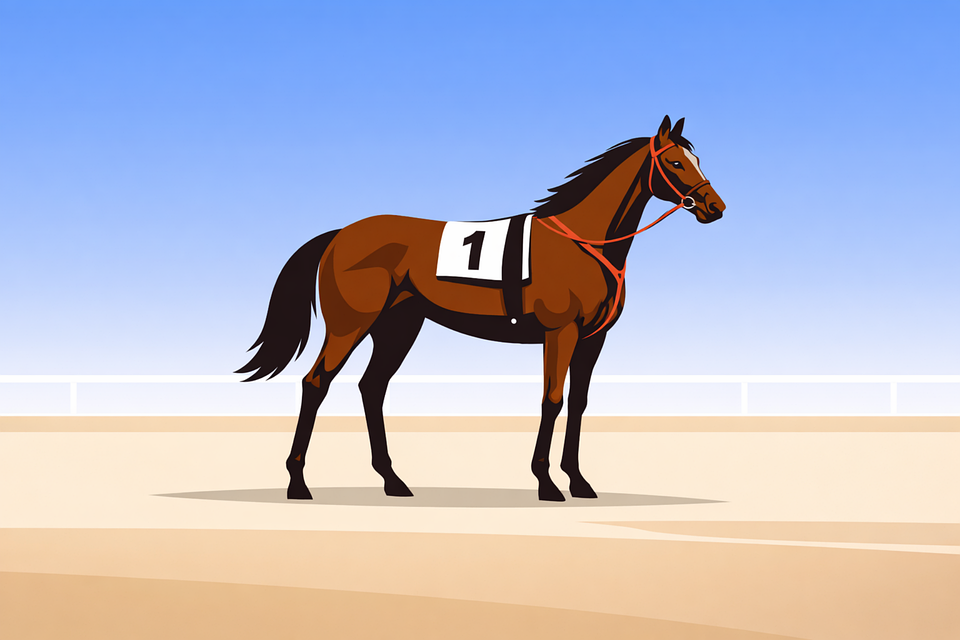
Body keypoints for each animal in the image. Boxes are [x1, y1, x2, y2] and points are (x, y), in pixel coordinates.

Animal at [237, 115, 726, 501]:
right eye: (676, 162)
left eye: (697, 160)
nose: (714, 207)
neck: (582, 244)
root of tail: (339, 234)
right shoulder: (560, 332)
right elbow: (552, 400)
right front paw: (547, 484)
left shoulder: (593, 338)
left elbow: (579, 403)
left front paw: (579, 482)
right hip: (350, 325)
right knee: (316, 382)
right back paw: (298, 483)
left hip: (398, 327)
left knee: (371, 388)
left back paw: (393, 480)